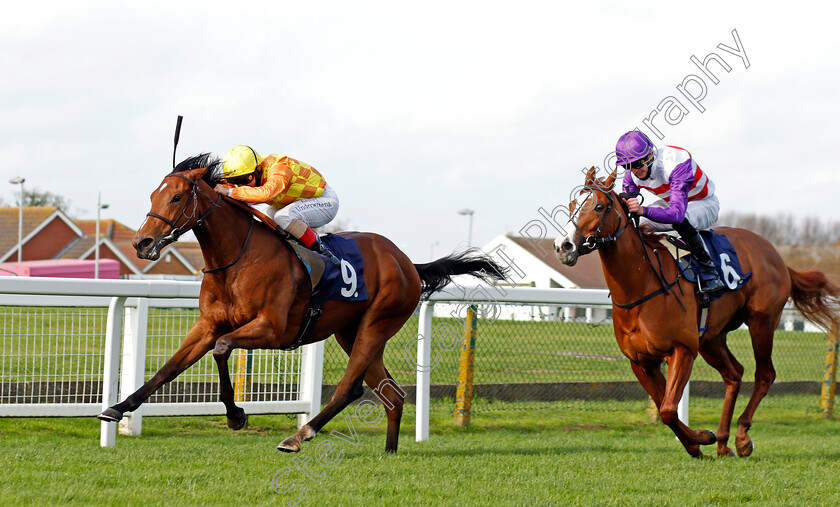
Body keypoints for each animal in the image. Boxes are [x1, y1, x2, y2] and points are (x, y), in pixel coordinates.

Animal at [98, 153, 506, 454]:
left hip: (377, 323)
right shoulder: (207, 325)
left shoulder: (272, 330)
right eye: (153, 195)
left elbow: (222, 348)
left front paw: (236, 415)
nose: (142, 243)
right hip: (351, 331)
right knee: (391, 392)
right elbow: (168, 369)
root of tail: (406, 261)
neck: (236, 260)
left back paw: (300, 435)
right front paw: (117, 408)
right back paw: (390, 452)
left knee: (350, 387)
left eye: (177, 197)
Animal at [556, 168, 836, 460]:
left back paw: (741, 437)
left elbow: (668, 410)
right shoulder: (641, 362)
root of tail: (776, 255)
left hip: (762, 321)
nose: (564, 246)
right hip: (712, 338)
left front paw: (702, 437)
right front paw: (699, 442)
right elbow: (663, 406)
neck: (642, 286)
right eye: (573, 205)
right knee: (734, 374)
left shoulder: (683, 350)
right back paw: (723, 442)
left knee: (765, 374)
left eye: (599, 206)